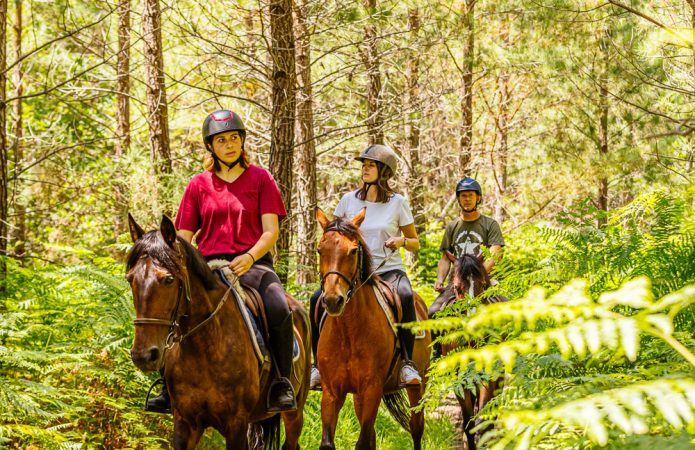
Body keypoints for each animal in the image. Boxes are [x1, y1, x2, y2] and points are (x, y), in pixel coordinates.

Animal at [126, 215, 312, 450]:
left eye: (168, 279)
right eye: (130, 278)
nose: (143, 356)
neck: (205, 347)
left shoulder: (236, 424)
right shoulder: (185, 423)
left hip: (295, 413)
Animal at [316, 209, 430, 450]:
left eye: (352, 251)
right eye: (320, 250)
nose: (332, 301)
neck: (348, 332)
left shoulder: (371, 390)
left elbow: (362, 443)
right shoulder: (331, 392)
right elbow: (330, 442)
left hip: (418, 384)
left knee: (417, 427)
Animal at [444, 251, 508, 448]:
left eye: (484, 285)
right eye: (457, 288)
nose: (474, 324)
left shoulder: (489, 376)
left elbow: (483, 420)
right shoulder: (459, 381)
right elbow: (468, 422)